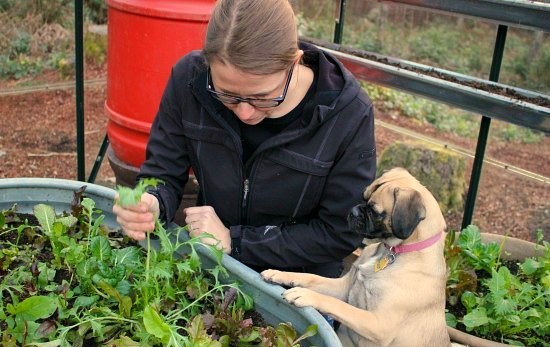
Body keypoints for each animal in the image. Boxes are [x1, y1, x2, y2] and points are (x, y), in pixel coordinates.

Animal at [264, 168, 458, 346]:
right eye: (364, 198)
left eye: (374, 212)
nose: (353, 211)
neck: (389, 251)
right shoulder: (342, 288)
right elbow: (310, 277)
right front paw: (279, 274)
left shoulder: (378, 323)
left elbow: (339, 305)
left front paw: (305, 295)